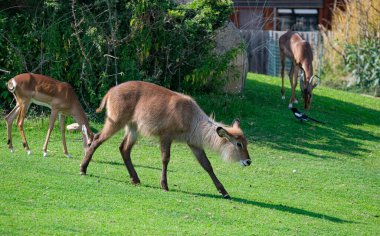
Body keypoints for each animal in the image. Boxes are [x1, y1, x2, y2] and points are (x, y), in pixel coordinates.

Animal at [80, 80, 251, 198]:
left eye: (246, 143)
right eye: (239, 144)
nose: (248, 161)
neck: (191, 118)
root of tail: (111, 91)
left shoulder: (194, 144)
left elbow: (207, 165)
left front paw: (224, 192)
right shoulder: (166, 136)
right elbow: (165, 159)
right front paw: (164, 185)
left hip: (133, 128)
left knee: (124, 148)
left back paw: (135, 179)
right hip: (116, 122)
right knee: (96, 139)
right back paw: (83, 169)